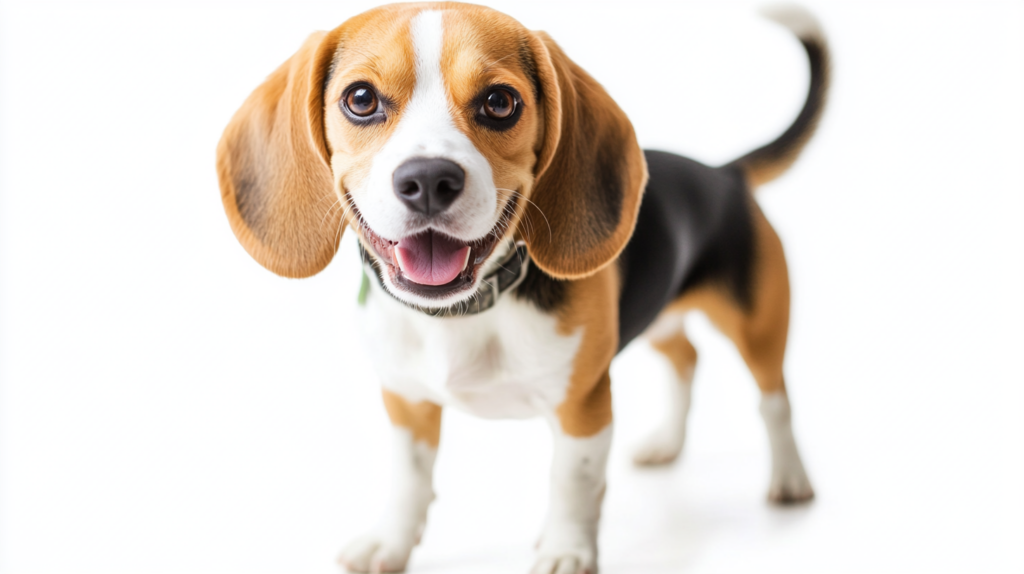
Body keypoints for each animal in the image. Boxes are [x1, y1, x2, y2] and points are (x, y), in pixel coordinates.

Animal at [218, 3, 831, 568]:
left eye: (499, 102)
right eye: (361, 99)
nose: (428, 180)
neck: (465, 312)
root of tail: (726, 173)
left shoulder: (584, 406)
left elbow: (572, 483)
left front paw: (566, 552)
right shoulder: (406, 399)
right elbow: (409, 480)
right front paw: (389, 543)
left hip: (759, 322)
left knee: (774, 398)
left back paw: (790, 479)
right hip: (662, 317)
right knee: (686, 357)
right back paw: (667, 445)